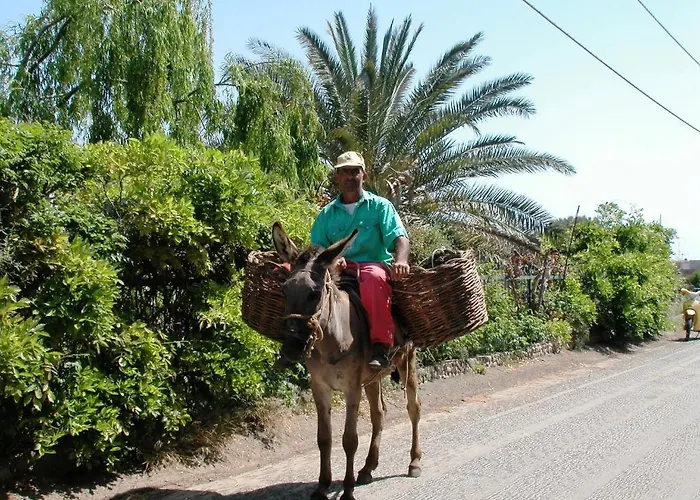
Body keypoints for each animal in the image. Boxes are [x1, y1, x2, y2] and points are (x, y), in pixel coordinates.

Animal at [271, 222, 422, 500]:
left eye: (314, 293)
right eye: (284, 289)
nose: (291, 349)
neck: (331, 339)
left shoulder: (352, 388)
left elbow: (349, 439)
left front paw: (348, 490)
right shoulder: (319, 387)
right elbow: (324, 438)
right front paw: (322, 487)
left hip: (407, 362)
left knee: (414, 407)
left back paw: (414, 462)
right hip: (373, 378)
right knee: (379, 413)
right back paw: (368, 468)